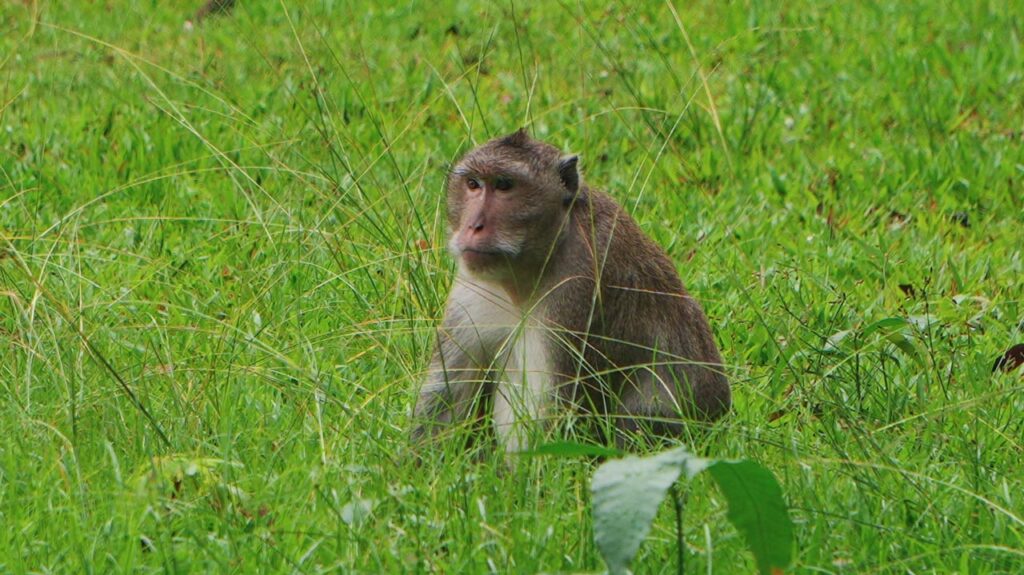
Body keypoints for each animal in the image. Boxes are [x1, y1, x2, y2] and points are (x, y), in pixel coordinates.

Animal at [412, 129, 730, 453]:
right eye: (473, 184)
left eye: (504, 186)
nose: (473, 226)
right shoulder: (473, 286)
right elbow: (447, 394)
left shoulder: (578, 286)